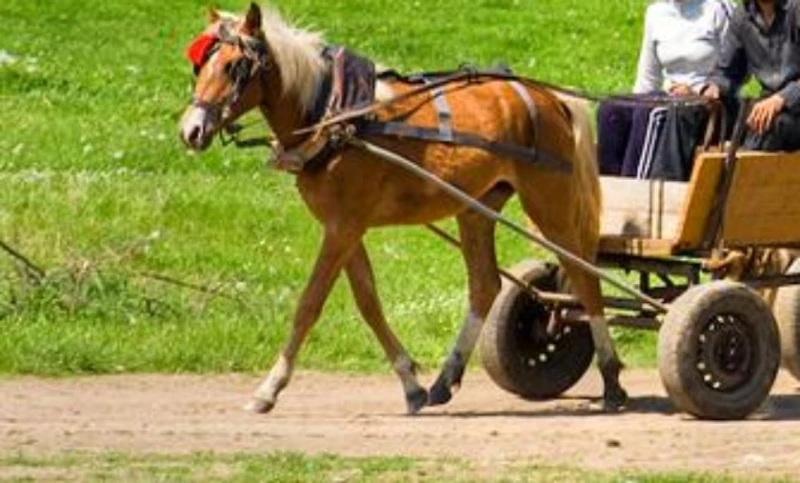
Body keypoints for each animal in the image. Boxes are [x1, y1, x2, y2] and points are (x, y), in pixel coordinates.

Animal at [178, 1, 628, 414]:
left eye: (235, 66)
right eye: (201, 66)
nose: (191, 130)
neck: (334, 114)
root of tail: (549, 96)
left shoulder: (343, 227)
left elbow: (309, 303)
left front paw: (269, 388)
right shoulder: (345, 227)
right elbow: (368, 302)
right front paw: (410, 382)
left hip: (550, 202)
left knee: (584, 279)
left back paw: (611, 379)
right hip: (477, 208)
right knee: (486, 286)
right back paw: (446, 378)